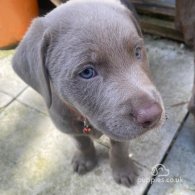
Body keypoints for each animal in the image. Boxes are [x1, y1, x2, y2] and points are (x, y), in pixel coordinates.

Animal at [11, 0, 165, 187]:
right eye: (87, 72)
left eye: (137, 52)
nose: (153, 115)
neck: (86, 118)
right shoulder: (67, 124)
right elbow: (82, 143)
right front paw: (85, 160)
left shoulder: (120, 132)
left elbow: (119, 148)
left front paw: (123, 170)